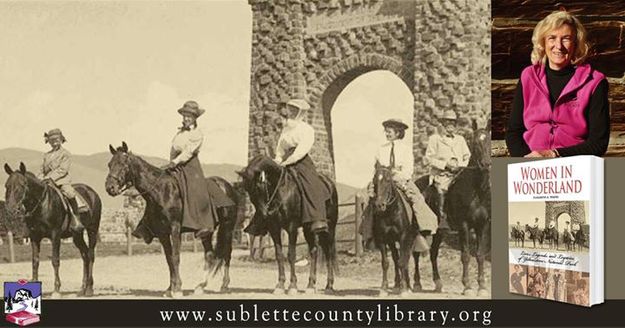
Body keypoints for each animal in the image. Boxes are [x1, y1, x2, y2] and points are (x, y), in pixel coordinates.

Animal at [3, 162, 101, 298]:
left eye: (22, 185)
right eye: (7, 185)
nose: (11, 209)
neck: (42, 204)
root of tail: (92, 192)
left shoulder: (55, 236)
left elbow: (55, 260)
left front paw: (56, 290)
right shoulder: (34, 237)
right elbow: (35, 261)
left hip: (92, 230)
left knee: (91, 255)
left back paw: (89, 289)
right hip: (77, 235)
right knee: (85, 255)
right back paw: (82, 288)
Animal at [106, 142, 238, 298]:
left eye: (123, 164)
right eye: (109, 164)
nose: (110, 188)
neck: (161, 191)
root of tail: (227, 186)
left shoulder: (175, 229)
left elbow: (175, 257)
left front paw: (177, 289)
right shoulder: (163, 233)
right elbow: (169, 259)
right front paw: (170, 288)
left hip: (228, 227)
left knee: (227, 253)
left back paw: (225, 285)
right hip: (207, 232)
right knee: (209, 254)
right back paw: (200, 286)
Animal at [238, 155, 336, 294]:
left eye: (259, 187)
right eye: (248, 190)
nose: (265, 214)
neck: (282, 191)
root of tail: (330, 184)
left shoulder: (292, 227)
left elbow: (291, 255)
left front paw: (292, 286)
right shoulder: (274, 228)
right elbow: (279, 255)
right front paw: (280, 285)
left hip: (330, 229)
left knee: (329, 253)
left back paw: (329, 286)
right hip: (308, 229)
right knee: (314, 251)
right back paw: (311, 285)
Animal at [370, 165, 420, 296]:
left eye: (388, 180)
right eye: (374, 180)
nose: (379, 205)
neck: (390, 213)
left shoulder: (404, 238)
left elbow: (403, 261)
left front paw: (404, 289)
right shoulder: (382, 239)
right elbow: (386, 263)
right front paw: (384, 288)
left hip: (411, 239)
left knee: (407, 258)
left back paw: (409, 285)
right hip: (392, 241)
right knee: (396, 258)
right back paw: (398, 283)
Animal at [416, 123, 490, 298]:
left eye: (489, 140)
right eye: (475, 143)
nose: (486, 164)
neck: (476, 190)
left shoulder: (483, 226)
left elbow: (480, 255)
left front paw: (482, 287)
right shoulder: (464, 226)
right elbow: (466, 256)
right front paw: (467, 286)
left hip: (439, 232)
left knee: (433, 252)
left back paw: (438, 283)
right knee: (415, 253)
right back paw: (416, 283)